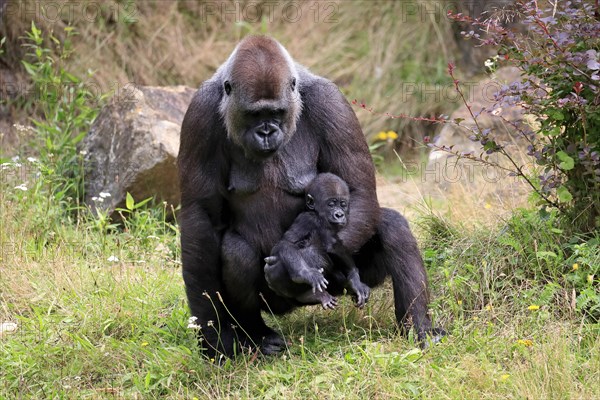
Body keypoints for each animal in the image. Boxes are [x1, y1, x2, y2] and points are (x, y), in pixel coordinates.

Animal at [264, 173, 370, 310]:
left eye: (343, 204)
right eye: (331, 204)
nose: (339, 215)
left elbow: (337, 247)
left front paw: (355, 280)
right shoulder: (307, 219)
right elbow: (286, 243)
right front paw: (305, 274)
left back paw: (316, 296)